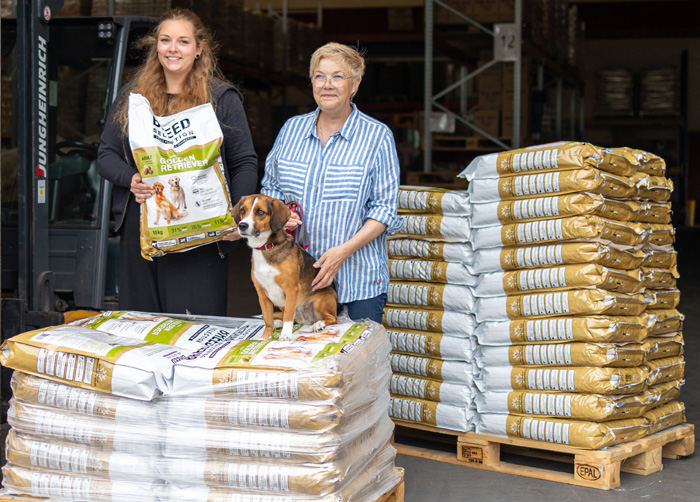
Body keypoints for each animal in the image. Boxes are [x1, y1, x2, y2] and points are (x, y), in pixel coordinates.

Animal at [235, 193, 340, 342]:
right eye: (242, 210)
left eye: (260, 212)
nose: (242, 225)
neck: (266, 248)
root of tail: (306, 319)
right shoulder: (262, 294)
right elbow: (267, 320)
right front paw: (265, 338)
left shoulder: (291, 289)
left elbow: (288, 317)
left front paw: (285, 335)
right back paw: (277, 323)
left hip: (321, 300)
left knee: (333, 318)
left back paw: (319, 324)